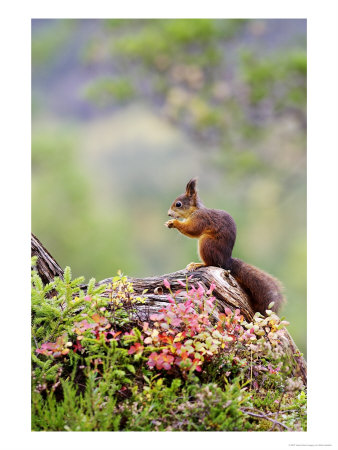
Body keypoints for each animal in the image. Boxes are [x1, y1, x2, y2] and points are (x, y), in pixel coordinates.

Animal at [165, 178, 284, 314]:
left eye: (178, 204)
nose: (169, 214)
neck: (195, 210)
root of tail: (226, 261)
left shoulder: (201, 219)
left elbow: (192, 229)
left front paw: (174, 223)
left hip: (206, 243)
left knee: (211, 263)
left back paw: (198, 264)